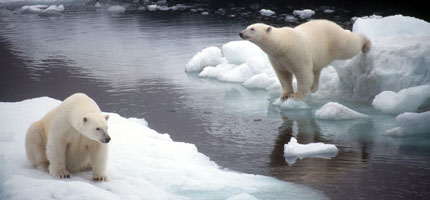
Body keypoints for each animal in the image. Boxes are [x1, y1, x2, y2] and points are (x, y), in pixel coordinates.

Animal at [239, 20, 370, 100]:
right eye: (247, 27)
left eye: (252, 29)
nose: (240, 33)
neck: (282, 44)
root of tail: (334, 24)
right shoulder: (276, 58)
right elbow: (283, 75)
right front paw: (285, 95)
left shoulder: (297, 53)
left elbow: (303, 73)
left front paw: (297, 96)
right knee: (316, 70)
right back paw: (313, 88)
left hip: (334, 40)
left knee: (349, 46)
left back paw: (366, 44)